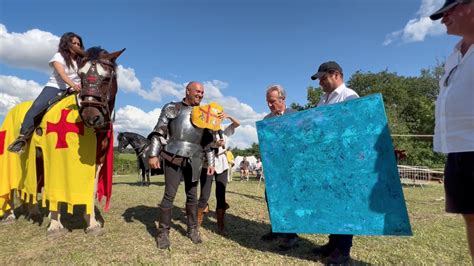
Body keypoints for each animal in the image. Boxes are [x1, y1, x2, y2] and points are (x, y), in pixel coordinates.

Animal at [0, 46, 125, 237]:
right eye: (81, 75)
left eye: (106, 77)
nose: (91, 116)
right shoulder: (54, 156)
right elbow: (54, 188)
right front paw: (55, 225)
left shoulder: (97, 160)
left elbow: (91, 189)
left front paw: (92, 223)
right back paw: (9, 215)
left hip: (35, 160)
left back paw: (33, 212)